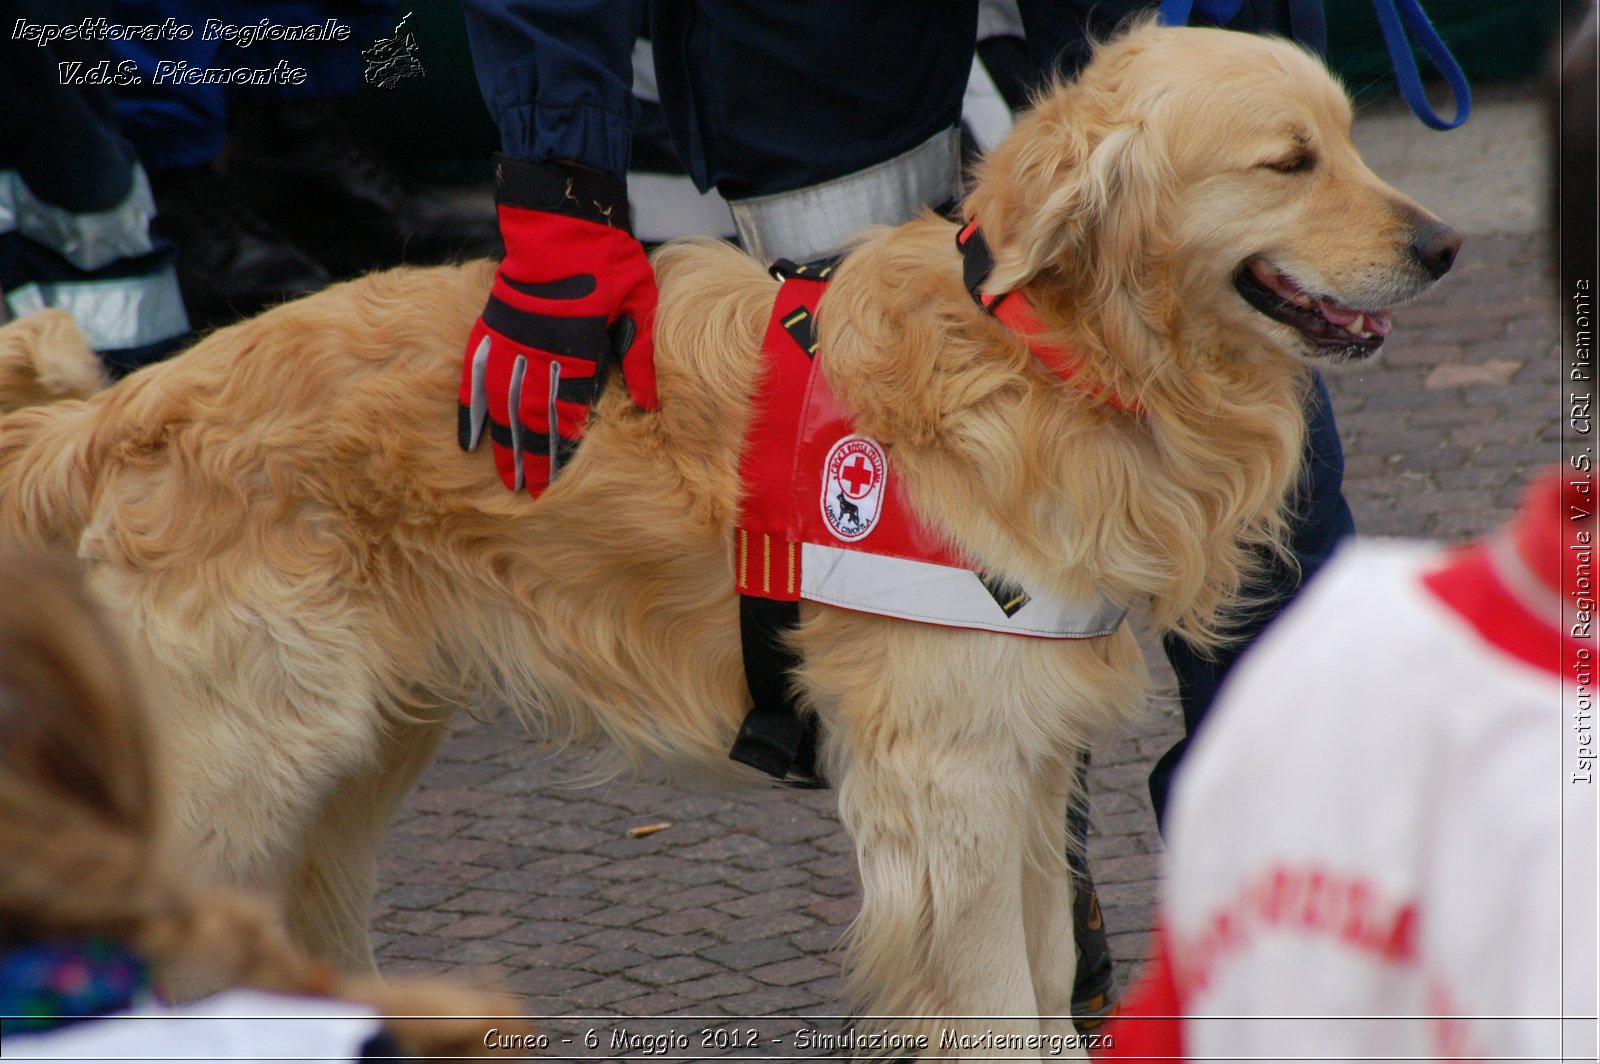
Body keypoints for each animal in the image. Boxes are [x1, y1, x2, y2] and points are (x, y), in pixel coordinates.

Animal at [0, 22, 1452, 1056]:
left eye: (1349, 139)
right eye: (1287, 161)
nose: (1443, 243)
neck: (1044, 356)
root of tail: (120, 407)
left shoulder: (1026, 761)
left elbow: (1046, 981)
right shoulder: (950, 780)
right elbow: (998, 1003)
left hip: (343, 766)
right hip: (246, 766)